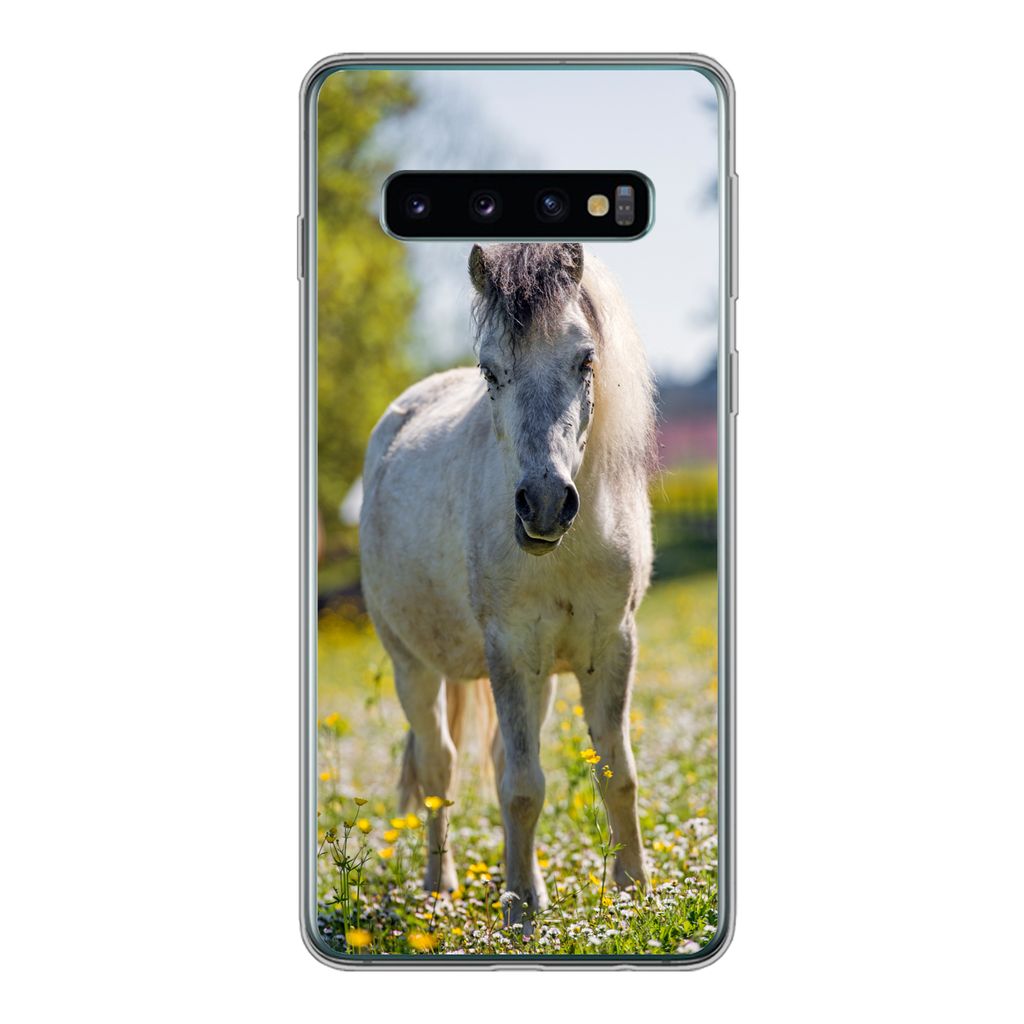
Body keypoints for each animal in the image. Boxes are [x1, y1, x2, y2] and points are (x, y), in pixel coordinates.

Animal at [359, 242, 656, 924]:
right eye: (490, 372)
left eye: (586, 359)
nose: (544, 505)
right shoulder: (510, 652)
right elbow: (523, 787)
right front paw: (520, 909)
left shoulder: (612, 647)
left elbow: (618, 774)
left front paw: (635, 894)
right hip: (413, 666)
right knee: (439, 766)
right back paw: (439, 887)